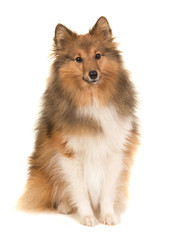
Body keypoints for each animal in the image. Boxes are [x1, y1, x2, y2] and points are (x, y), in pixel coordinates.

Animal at [17, 15, 139, 226]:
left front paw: (107, 215)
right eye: (78, 59)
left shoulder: (114, 151)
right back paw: (65, 206)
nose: (93, 74)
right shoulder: (69, 153)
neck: (92, 99)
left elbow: (107, 190)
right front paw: (88, 216)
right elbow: (80, 190)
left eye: (98, 55)